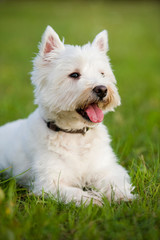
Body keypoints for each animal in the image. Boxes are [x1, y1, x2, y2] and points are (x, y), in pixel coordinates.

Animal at [0, 26, 134, 205]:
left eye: (102, 74)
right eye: (74, 75)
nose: (102, 89)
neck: (75, 134)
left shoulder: (105, 168)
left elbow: (114, 180)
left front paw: (121, 196)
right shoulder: (49, 182)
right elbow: (73, 192)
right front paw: (93, 201)